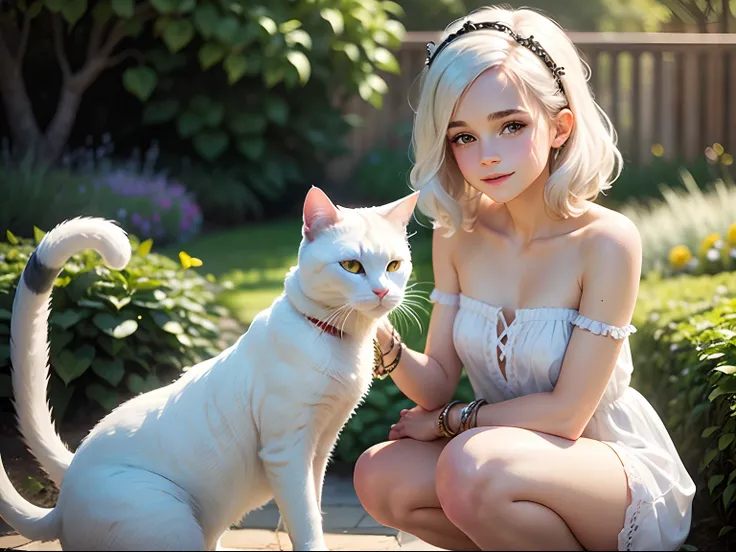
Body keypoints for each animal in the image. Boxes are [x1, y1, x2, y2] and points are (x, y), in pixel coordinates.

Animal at [0, 188, 416, 548]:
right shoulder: (288, 450)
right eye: (352, 266)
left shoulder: (320, 448)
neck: (336, 339)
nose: (382, 291)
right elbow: (306, 523)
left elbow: (312, 509)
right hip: (167, 515)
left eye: (394, 265)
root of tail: (63, 500)